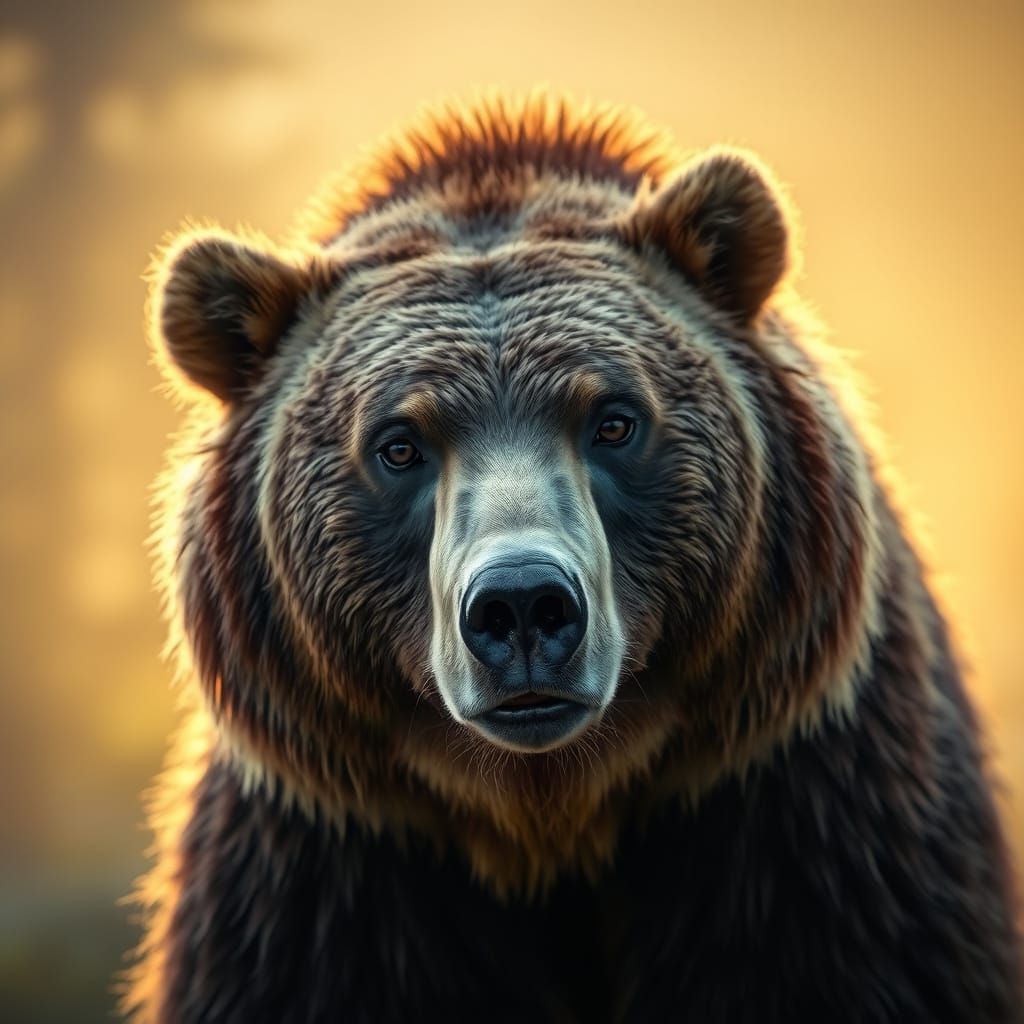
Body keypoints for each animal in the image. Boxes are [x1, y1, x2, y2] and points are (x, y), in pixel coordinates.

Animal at [123, 93, 1022, 1022]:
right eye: (399, 444)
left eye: (614, 420)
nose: (522, 604)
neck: (551, 816)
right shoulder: (331, 872)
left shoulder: (808, 819)